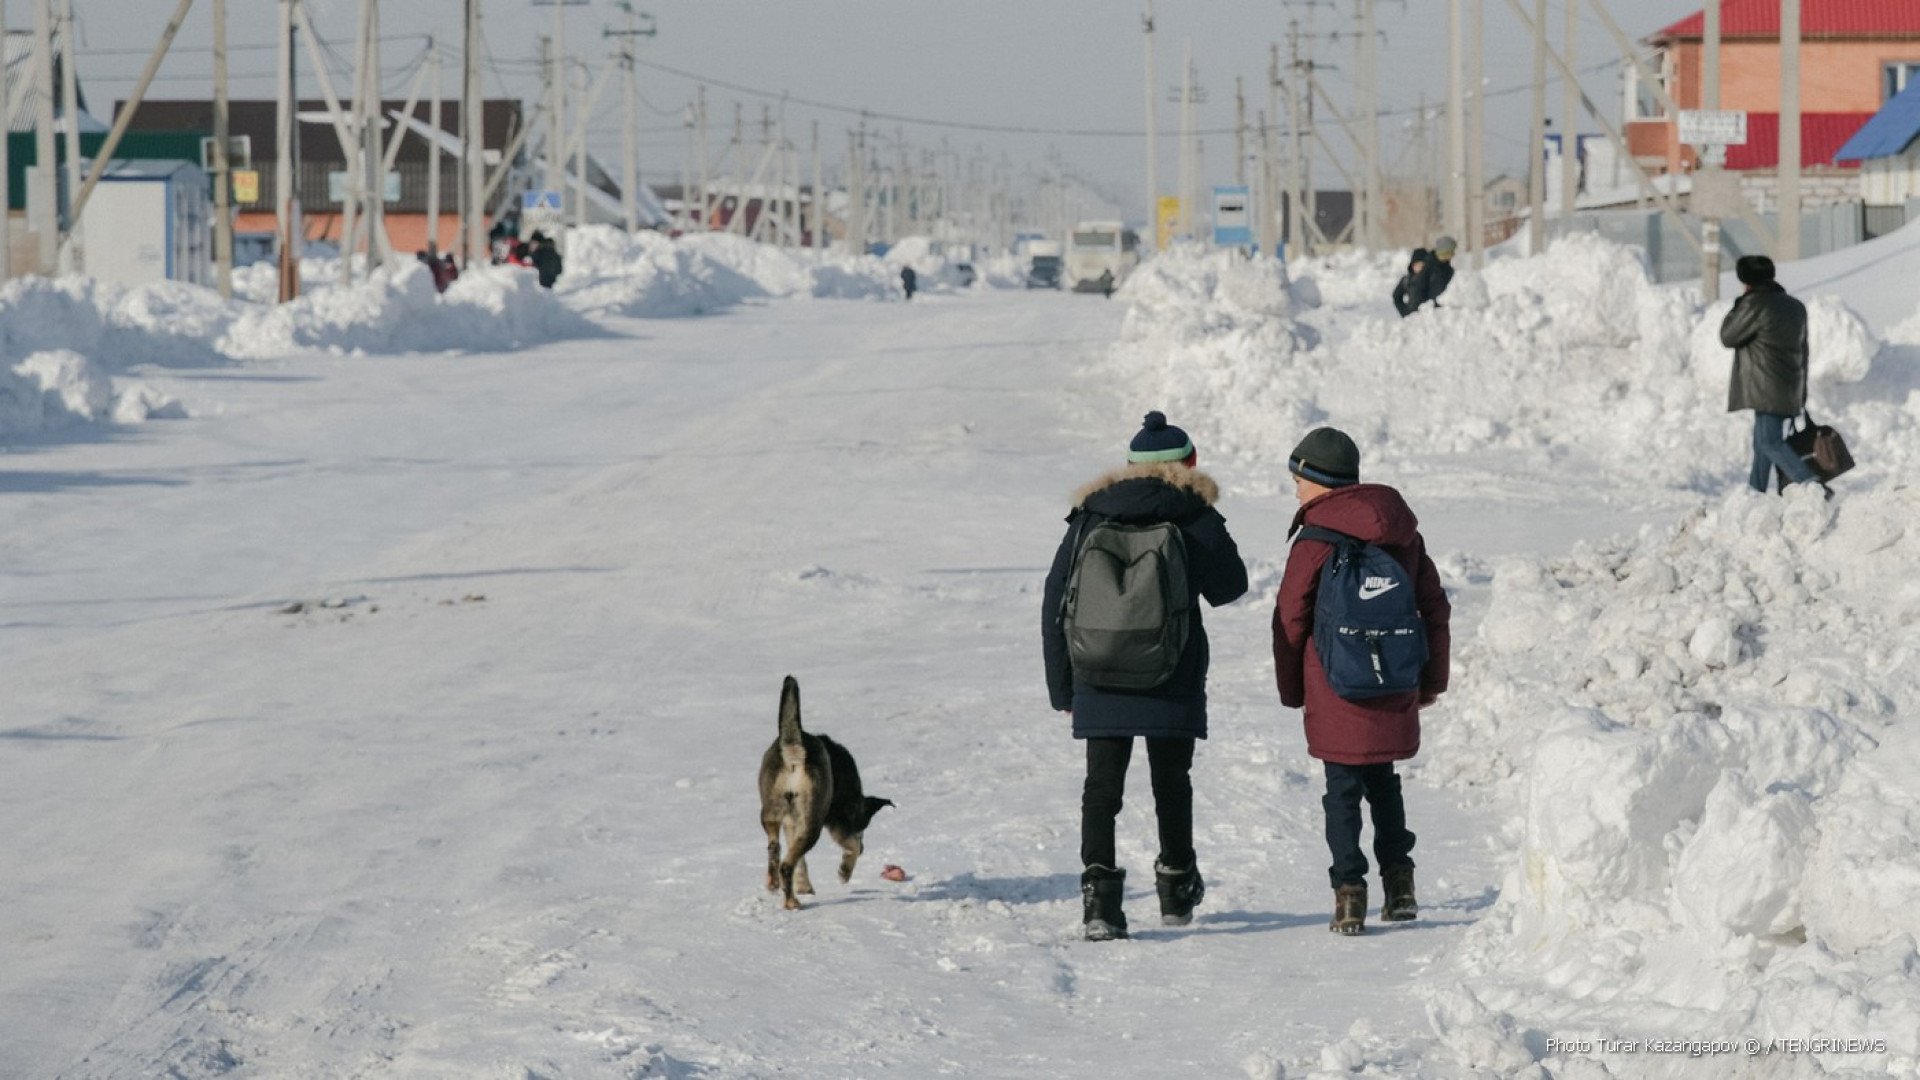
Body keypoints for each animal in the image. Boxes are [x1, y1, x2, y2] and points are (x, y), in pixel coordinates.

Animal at [756, 676, 890, 903]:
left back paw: (774, 884)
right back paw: (792, 903)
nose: (865, 849)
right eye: (864, 825)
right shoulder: (839, 820)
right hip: (813, 822)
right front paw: (844, 871)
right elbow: (852, 845)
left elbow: (800, 858)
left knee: (776, 850)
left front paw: (804, 887)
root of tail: (794, 750)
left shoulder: (792, 823)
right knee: (786, 865)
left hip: (771, 813)